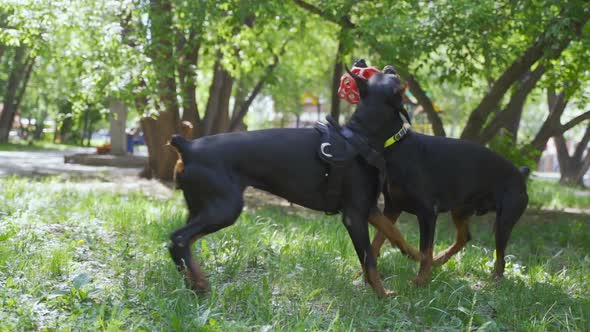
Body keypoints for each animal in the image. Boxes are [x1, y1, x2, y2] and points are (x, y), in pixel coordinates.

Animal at [169, 68, 414, 296]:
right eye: (392, 78)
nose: (391, 67)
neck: (361, 137)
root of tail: (187, 147)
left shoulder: (369, 208)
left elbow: (394, 231)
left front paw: (415, 255)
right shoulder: (354, 215)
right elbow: (369, 260)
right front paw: (383, 296)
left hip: (201, 206)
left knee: (178, 244)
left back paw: (195, 285)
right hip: (225, 208)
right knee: (179, 239)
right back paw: (200, 285)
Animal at [352, 68, 532, 286]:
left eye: (392, 77)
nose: (389, 67)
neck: (395, 145)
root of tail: (520, 173)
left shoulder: (428, 212)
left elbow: (425, 248)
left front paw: (420, 281)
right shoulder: (392, 207)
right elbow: (380, 237)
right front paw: (364, 275)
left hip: (504, 220)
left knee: (500, 257)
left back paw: (494, 280)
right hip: (461, 209)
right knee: (465, 237)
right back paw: (440, 260)